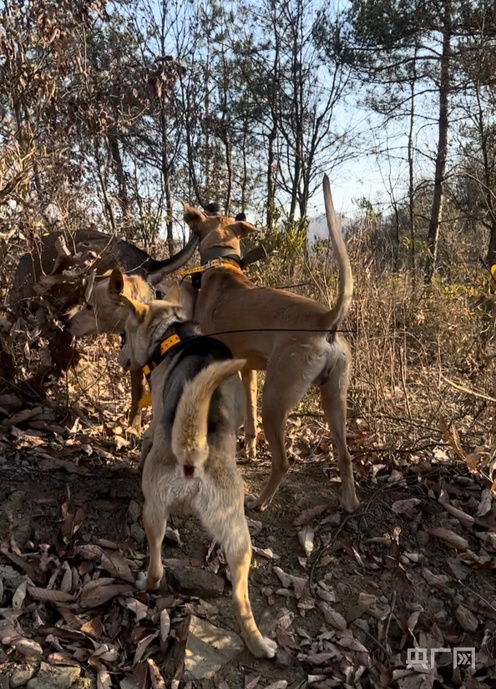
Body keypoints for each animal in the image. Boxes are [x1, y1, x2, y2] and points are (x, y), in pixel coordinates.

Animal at [113, 272, 280, 660]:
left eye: (125, 333)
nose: (121, 358)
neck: (173, 333)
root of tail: (194, 450)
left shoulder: (156, 417)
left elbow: (147, 435)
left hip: (154, 510)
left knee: (156, 567)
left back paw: (145, 581)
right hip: (238, 539)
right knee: (240, 600)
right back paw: (259, 644)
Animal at [180, 175, 358, 512]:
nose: (211, 203)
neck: (223, 267)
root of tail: (324, 320)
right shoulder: (248, 369)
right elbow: (249, 419)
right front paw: (248, 449)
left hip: (275, 399)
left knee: (283, 462)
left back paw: (260, 501)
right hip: (333, 398)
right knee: (344, 454)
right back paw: (349, 500)